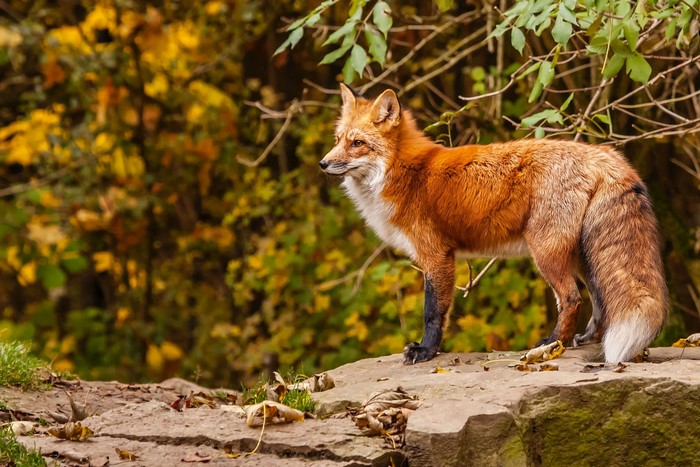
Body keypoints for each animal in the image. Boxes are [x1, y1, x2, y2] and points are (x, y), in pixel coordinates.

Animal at [319, 84, 668, 364]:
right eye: (337, 139)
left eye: (357, 143)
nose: (323, 163)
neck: (403, 173)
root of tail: (605, 154)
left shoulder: (437, 256)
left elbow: (433, 312)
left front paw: (426, 351)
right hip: (583, 254)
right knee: (599, 300)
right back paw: (584, 340)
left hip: (547, 252)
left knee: (572, 299)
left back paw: (552, 344)